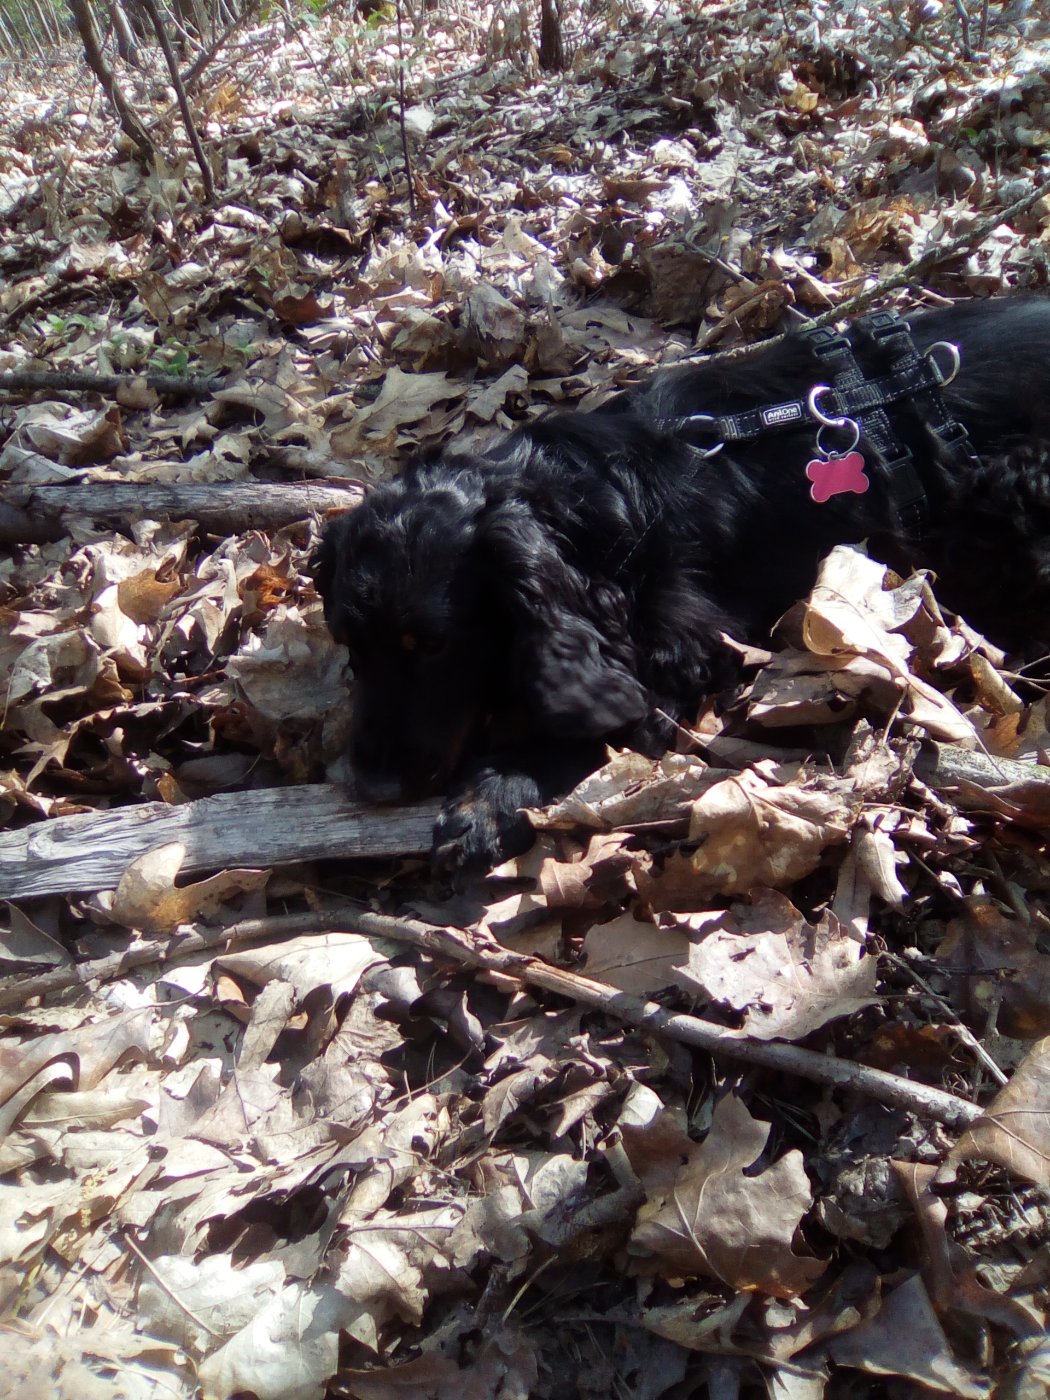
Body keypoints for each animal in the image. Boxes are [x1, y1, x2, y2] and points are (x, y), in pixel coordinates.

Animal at [314, 296, 1050, 872]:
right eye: (350, 647)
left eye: (433, 645)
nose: (373, 786)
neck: (587, 509)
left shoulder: (684, 651)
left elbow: (598, 720)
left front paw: (488, 800)